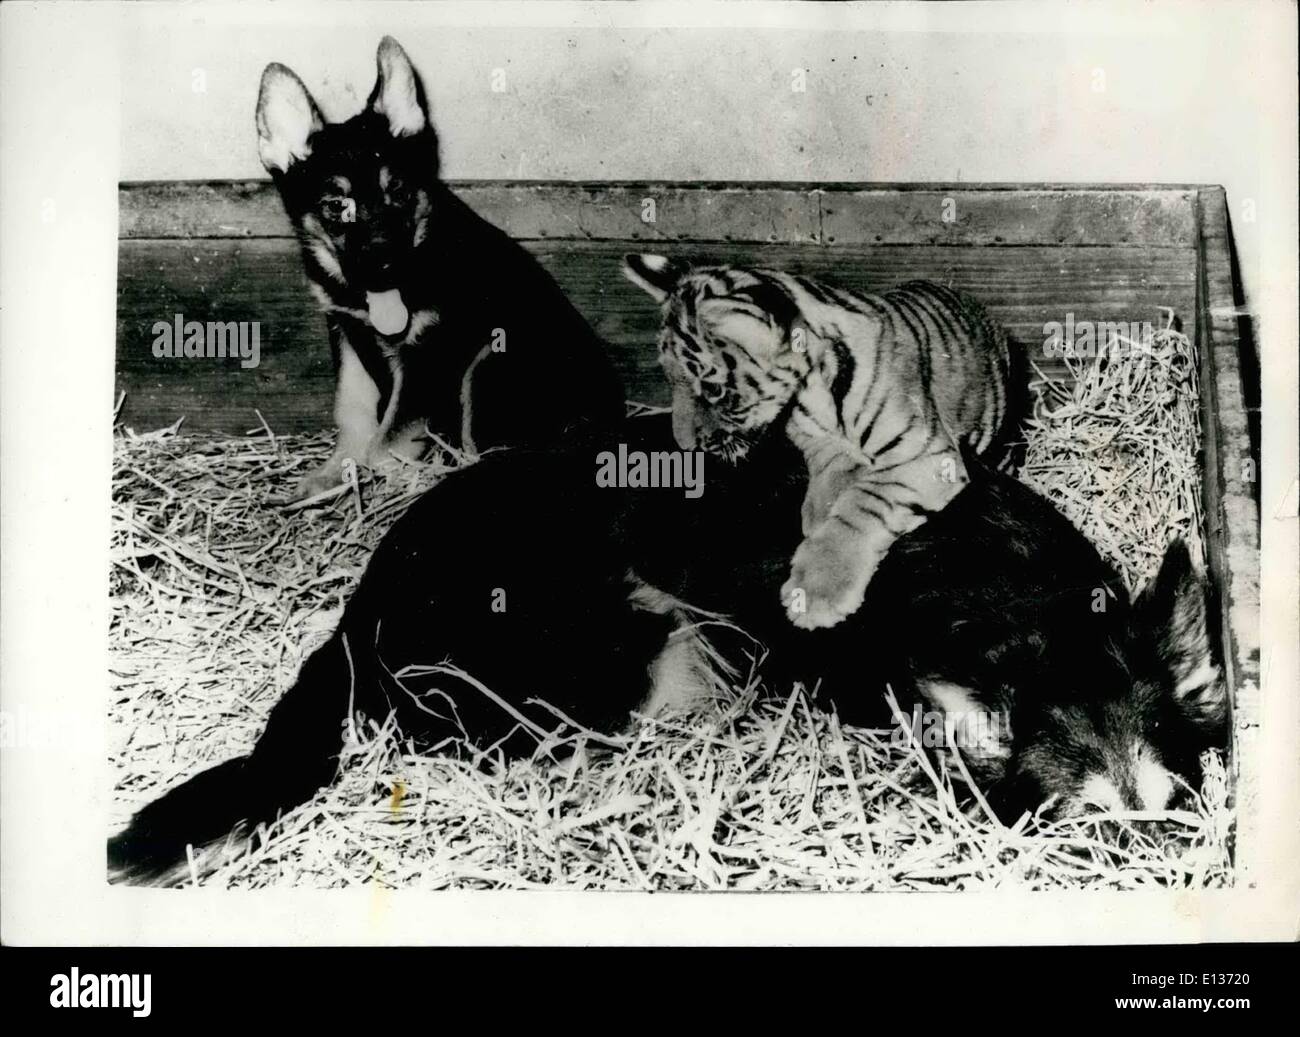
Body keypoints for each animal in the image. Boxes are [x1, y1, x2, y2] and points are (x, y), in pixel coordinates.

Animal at [623, 254, 1015, 630]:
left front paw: (815, 591)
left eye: (713, 388)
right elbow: (830, 459)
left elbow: (865, 503)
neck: (812, 387)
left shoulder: (926, 456)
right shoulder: (805, 431)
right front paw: (820, 509)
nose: (686, 445)